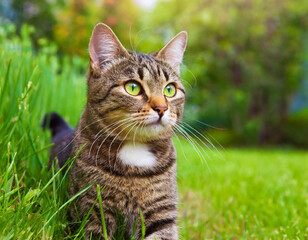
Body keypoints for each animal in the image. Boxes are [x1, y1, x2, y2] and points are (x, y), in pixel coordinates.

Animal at [43, 23, 188, 240]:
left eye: (170, 89)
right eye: (133, 87)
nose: (162, 108)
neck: (135, 153)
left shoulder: (162, 215)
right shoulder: (93, 212)